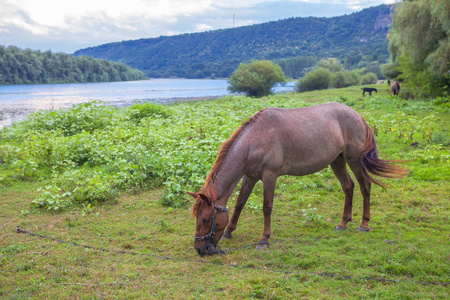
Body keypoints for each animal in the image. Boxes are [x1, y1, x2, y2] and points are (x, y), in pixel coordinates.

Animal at [188, 101, 406, 255]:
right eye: (197, 218)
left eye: (206, 219)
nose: (200, 249)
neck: (254, 141)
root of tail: (357, 115)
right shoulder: (249, 176)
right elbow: (240, 203)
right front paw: (229, 232)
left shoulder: (269, 175)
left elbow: (267, 207)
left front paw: (264, 239)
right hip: (337, 161)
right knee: (348, 187)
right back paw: (343, 223)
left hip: (354, 160)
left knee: (365, 186)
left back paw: (364, 225)